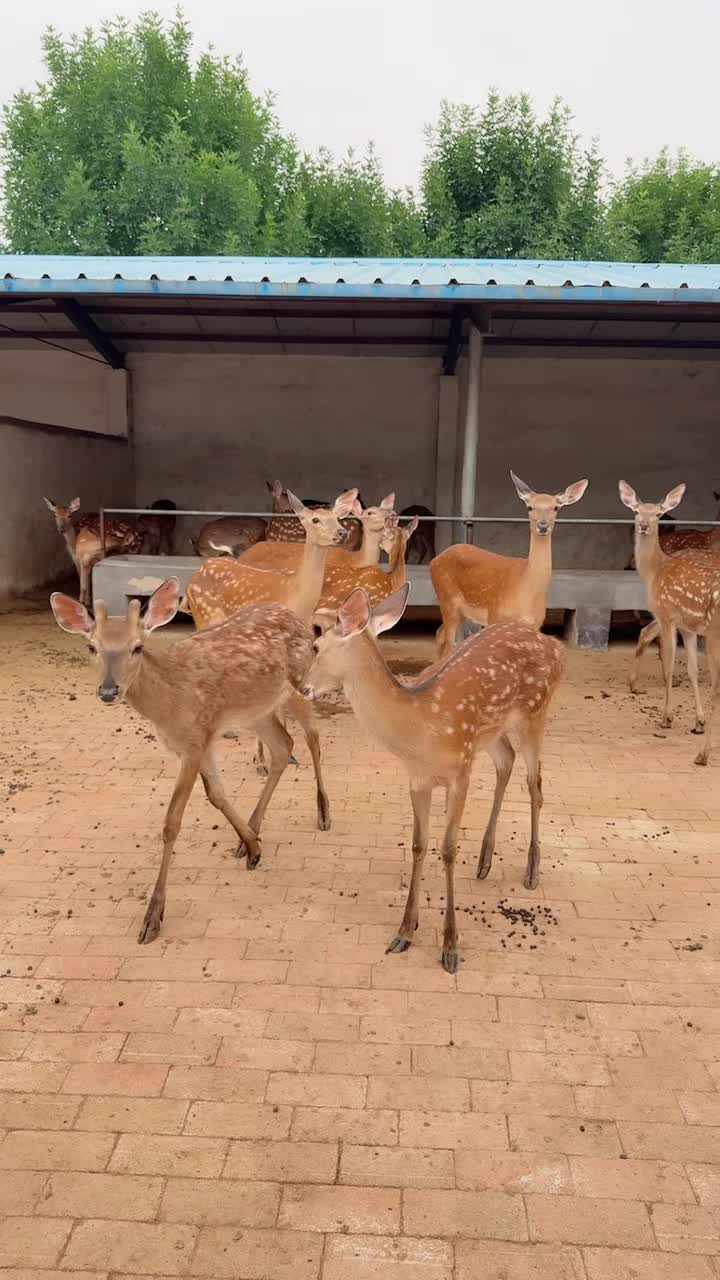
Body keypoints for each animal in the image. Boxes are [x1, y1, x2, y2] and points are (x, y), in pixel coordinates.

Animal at [50, 579, 321, 944]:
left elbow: (171, 822)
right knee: (283, 746)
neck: (168, 704)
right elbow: (217, 795)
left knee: (310, 736)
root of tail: (298, 619)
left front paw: (152, 917)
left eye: (137, 647)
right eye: (92, 647)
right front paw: (253, 846)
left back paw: (323, 813)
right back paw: (252, 832)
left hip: (298, 687)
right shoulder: (199, 740)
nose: (108, 691)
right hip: (256, 710)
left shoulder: (193, 741)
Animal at [302, 584, 564, 972]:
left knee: (536, 784)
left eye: (316, 646)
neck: (421, 728)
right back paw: (485, 861)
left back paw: (532, 870)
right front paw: (405, 931)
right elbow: (418, 844)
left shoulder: (460, 774)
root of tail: (555, 646)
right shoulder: (419, 779)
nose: (301, 687)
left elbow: (448, 849)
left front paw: (450, 946)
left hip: (535, 713)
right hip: (490, 734)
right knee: (507, 762)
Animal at [430, 472, 588, 660]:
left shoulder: (536, 624)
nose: (542, 526)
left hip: (460, 610)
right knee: (447, 641)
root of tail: (434, 561)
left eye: (556, 507)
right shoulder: (495, 615)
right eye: (530, 507)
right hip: (447, 598)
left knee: (439, 633)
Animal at [620, 481, 720, 760]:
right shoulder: (688, 627)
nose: (644, 525)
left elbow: (671, 665)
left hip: (714, 632)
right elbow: (692, 669)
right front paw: (698, 722)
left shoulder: (667, 616)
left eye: (658, 514)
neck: (655, 571)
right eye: (636, 511)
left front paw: (667, 718)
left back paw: (703, 754)